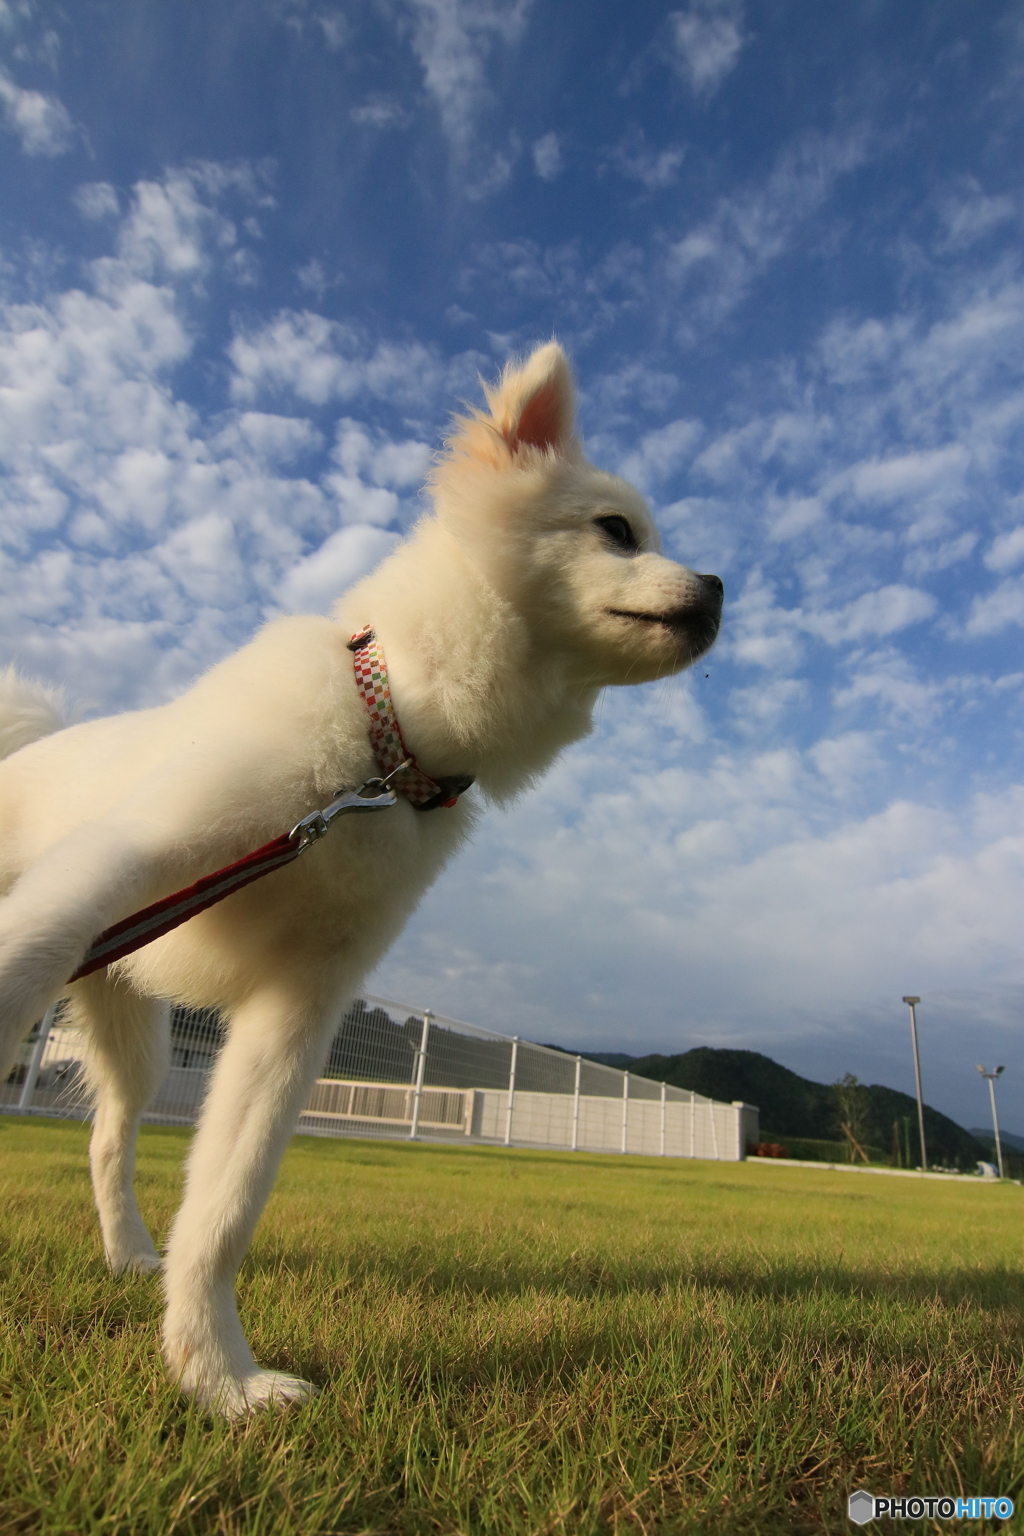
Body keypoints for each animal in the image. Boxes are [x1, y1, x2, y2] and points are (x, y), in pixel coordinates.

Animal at [0, 345, 724, 1413]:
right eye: (617, 530)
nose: (719, 586)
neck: (388, 739)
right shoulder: (118, 867)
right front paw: (219, 1375)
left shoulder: (300, 1006)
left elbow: (225, 1208)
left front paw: (220, 1380)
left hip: (134, 1034)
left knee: (108, 1137)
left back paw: (129, 1254)